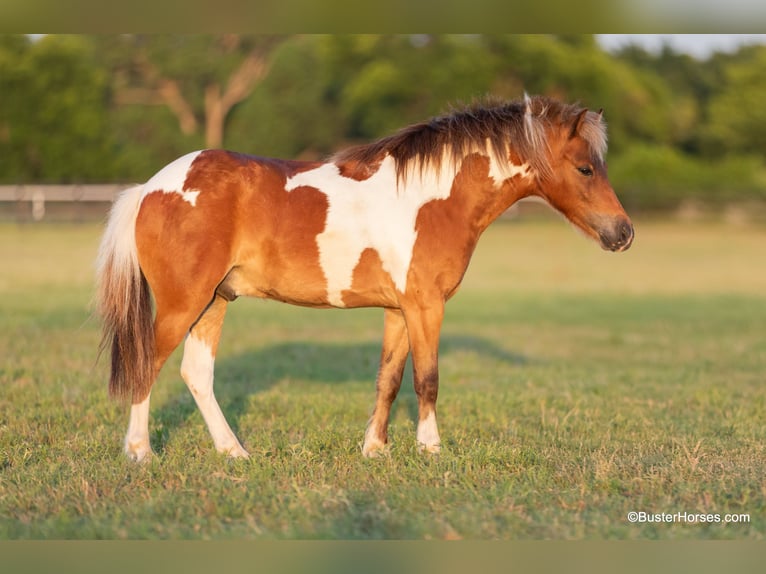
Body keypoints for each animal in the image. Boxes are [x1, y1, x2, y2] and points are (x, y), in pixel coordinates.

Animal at [96, 94, 634, 462]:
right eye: (586, 168)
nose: (624, 233)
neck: (433, 198)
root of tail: (151, 187)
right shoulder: (426, 306)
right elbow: (427, 379)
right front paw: (430, 448)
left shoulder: (399, 309)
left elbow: (388, 379)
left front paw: (375, 448)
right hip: (183, 303)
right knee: (147, 366)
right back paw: (140, 452)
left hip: (215, 301)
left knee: (197, 375)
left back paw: (234, 453)